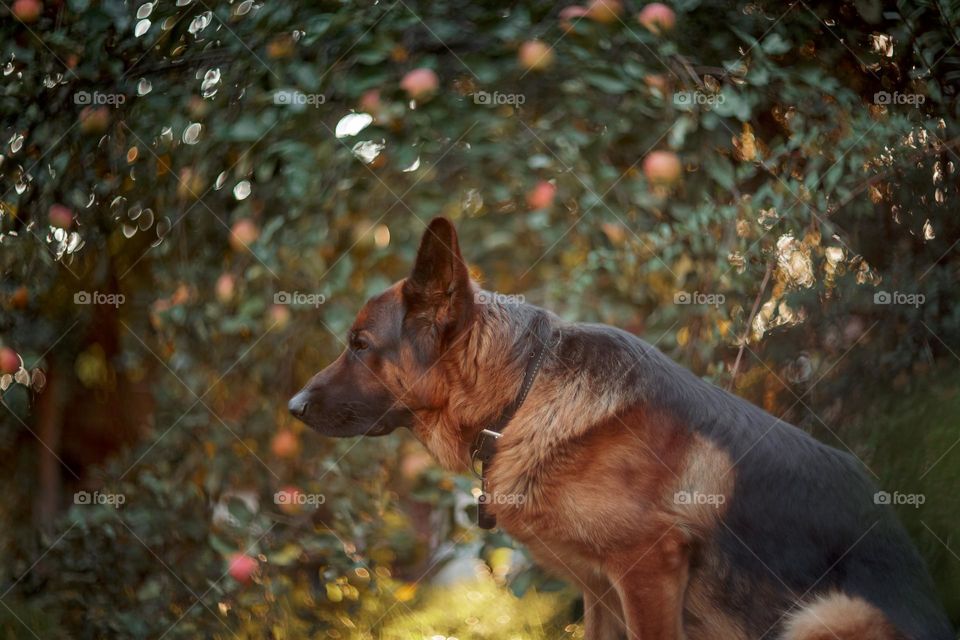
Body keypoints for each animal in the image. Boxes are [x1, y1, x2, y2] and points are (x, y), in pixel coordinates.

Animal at [290, 218, 952, 636]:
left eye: (359, 346)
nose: (293, 405)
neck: (523, 398)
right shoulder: (601, 591)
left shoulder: (648, 570)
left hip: (828, 614)